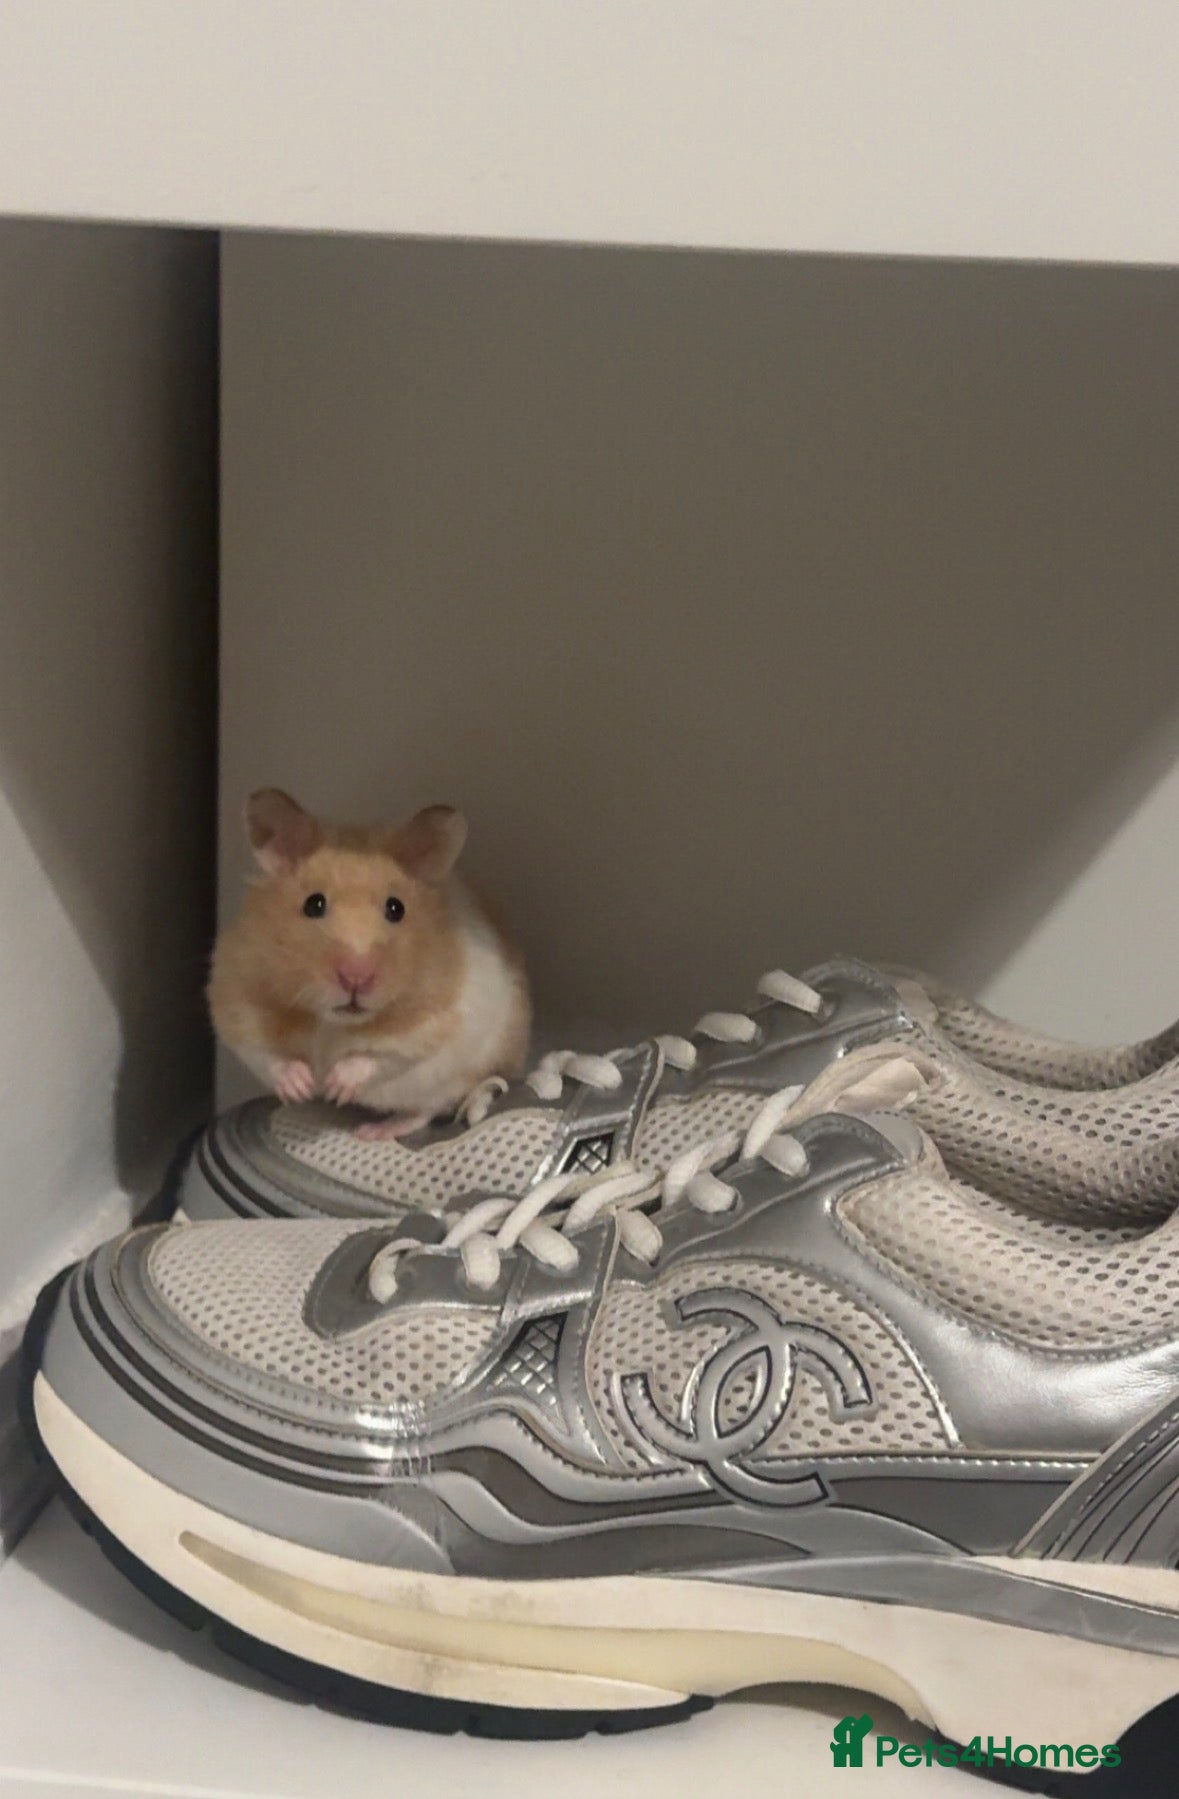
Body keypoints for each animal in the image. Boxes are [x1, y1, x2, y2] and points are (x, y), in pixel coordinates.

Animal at [209, 788, 531, 1135]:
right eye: (313, 904)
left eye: (396, 908)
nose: (356, 978)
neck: (332, 1021)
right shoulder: (238, 1007)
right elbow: (269, 1056)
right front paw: (301, 1088)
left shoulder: (431, 1025)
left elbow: (379, 1057)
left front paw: (336, 1088)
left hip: (455, 1075)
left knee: (424, 1110)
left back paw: (373, 1132)